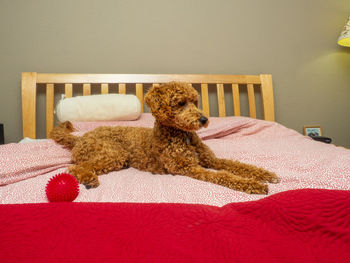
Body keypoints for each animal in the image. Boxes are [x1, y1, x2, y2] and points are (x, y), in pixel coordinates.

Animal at [50, 82, 278, 194]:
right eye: (181, 103)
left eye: (195, 101)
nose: (204, 119)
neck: (182, 135)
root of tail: (80, 138)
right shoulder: (189, 168)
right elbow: (224, 176)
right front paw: (255, 185)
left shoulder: (211, 160)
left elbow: (235, 165)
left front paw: (264, 174)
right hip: (113, 153)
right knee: (74, 167)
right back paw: (88, 178)